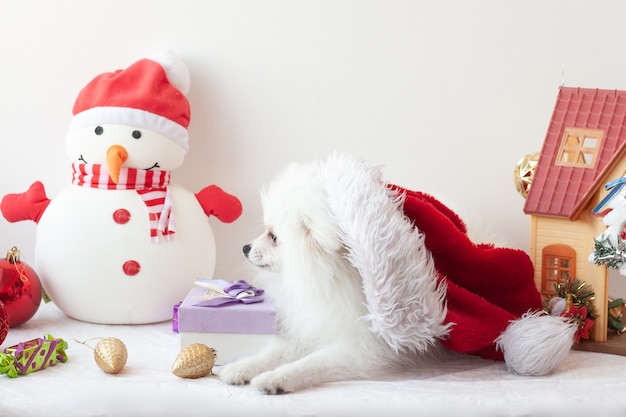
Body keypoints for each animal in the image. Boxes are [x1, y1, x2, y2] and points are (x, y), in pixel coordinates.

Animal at [218, 153, 576, 394]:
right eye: (265, 231)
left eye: (273, 237)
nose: (245, 248)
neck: (332, 280)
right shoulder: (316, 322)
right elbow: (274, 351)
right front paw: (241, 368)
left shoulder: (363, 348)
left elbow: (312, 363)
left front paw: (276, 379)